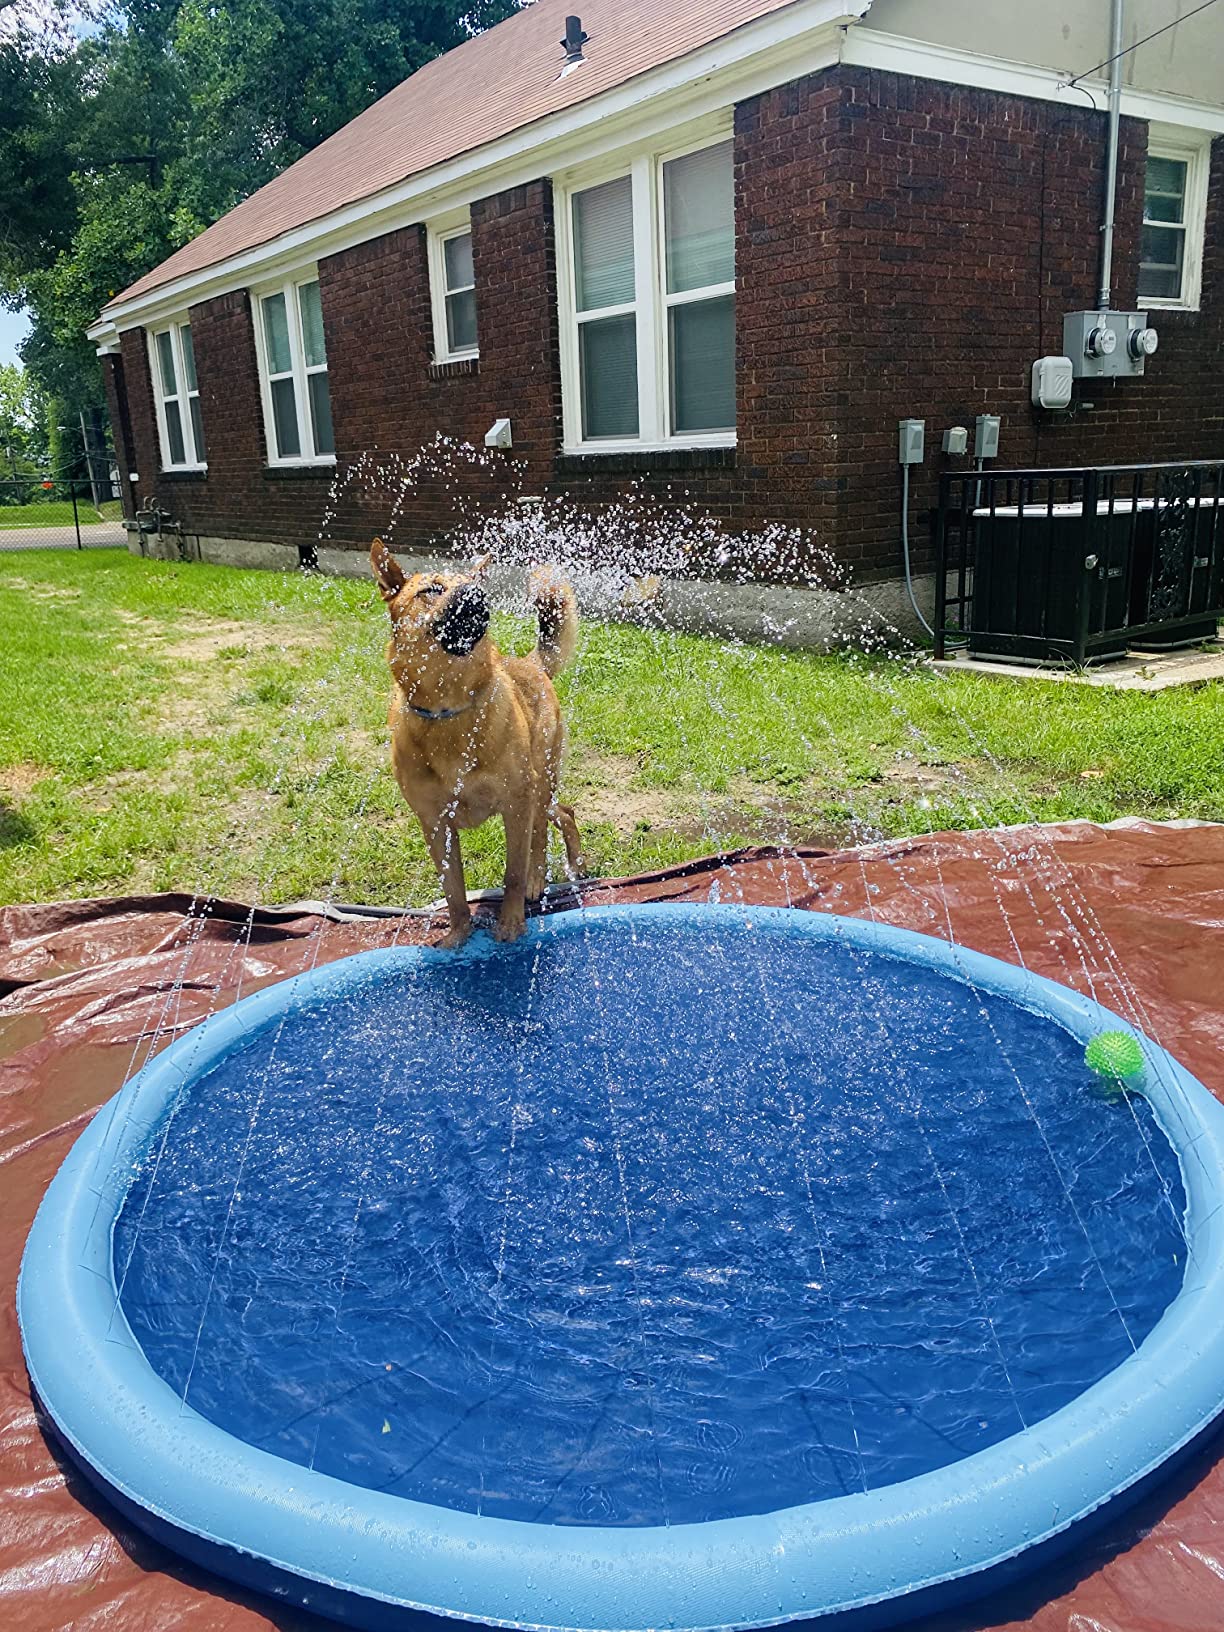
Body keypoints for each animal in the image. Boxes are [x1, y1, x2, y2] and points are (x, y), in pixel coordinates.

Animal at [372, 538, 587, 946]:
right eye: (431, 589)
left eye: (474, 583)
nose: (476, 594)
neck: (449, 710)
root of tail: (531, 663)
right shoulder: (434, 822)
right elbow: (453, 890)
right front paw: (458, 937)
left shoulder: (516, 803)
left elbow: (513, 873)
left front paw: (511, 925)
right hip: (538, 788)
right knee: (560, 815)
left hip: (539, 781)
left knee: (545, 830)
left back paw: (552, 875)